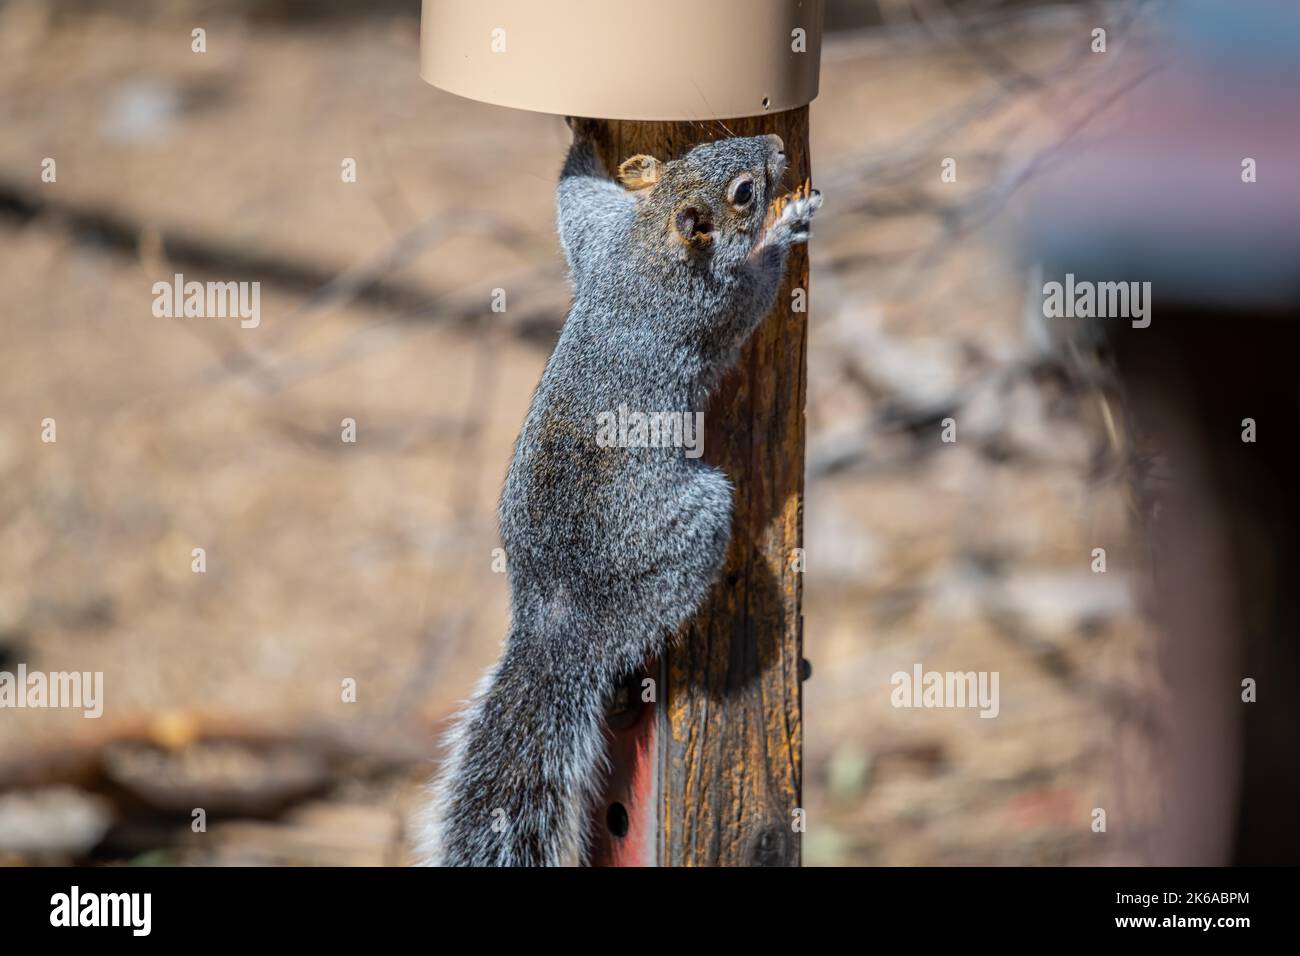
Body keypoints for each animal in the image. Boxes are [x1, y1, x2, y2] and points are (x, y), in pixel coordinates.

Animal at [416, 115, 821, 863]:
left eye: (697, 148)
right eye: (743, 192)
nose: (779, 149)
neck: (653, 240)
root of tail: (558, 615)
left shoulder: (598, 240)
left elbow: (573, 202)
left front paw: (581, 134)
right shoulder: (712, 305)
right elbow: (757, 290)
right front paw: (788, 228)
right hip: (692, 527)